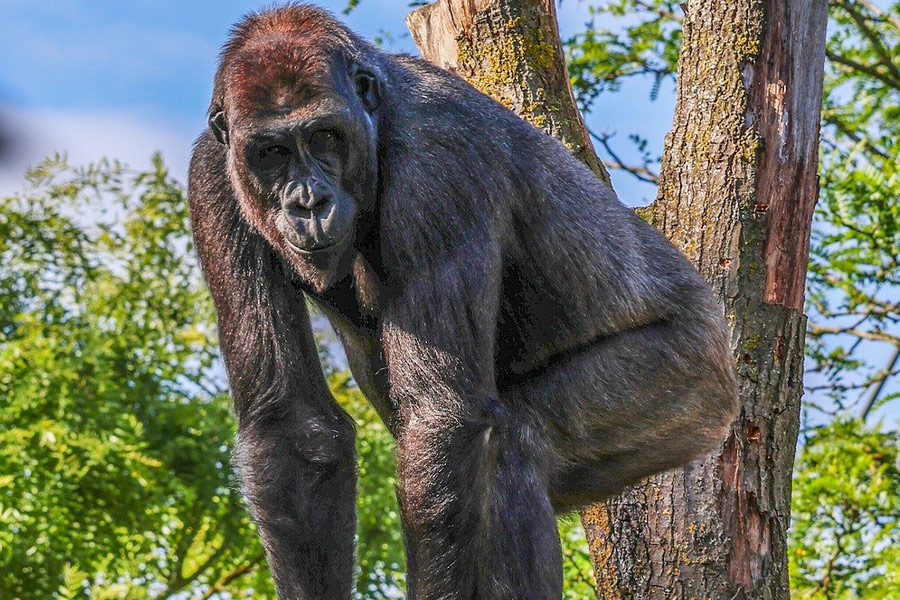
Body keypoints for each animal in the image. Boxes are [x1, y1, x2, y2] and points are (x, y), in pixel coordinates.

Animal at [187, 4, 739, 599]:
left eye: (326, 136)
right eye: (272, 153)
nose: (309, 203)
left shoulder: (441, 164)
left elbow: (443, 419)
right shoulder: (212, 175)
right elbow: (293, 429)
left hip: (695, 375)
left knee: (514, 450)